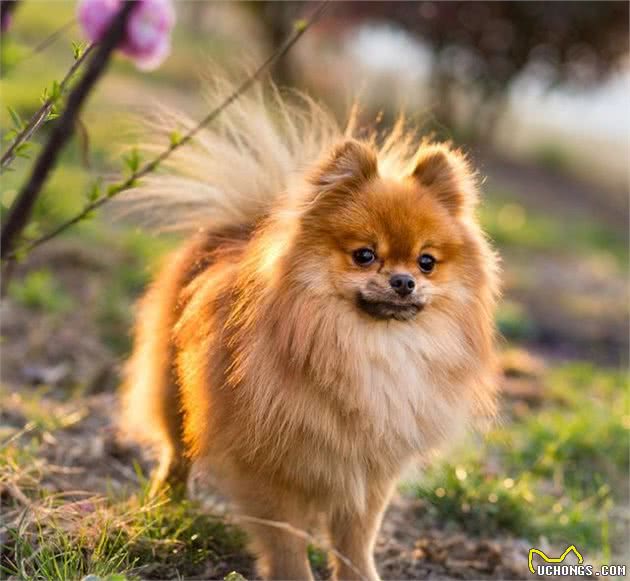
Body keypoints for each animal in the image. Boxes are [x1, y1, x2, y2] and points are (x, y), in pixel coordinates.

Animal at [121, 80, 502, 580]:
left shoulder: (368, 474)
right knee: (176, 450)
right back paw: (166, 504)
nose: (404, 281)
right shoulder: (271, 471)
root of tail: (237, 228)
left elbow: (356, 541)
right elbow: (287, 545)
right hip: (176, 391)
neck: (370, 347)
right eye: (364, 255)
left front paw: (361, 575)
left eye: (427, 262)